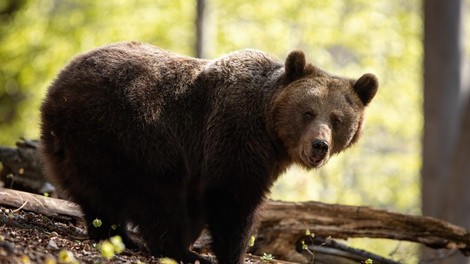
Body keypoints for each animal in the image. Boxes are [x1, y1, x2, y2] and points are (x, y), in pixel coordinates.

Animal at [39, 41, 378, 264]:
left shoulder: (212, 155)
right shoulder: (235, 133)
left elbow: (202, 199)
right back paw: (176, 250)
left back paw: (116, 234)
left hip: (80, 141)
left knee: (95, 192)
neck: (271, 131)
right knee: (155, 192)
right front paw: (230, 252)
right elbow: (233, 198)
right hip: (127, 129)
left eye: (337, 119)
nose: (319, 145)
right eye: (308, 112)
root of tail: (57, 84)